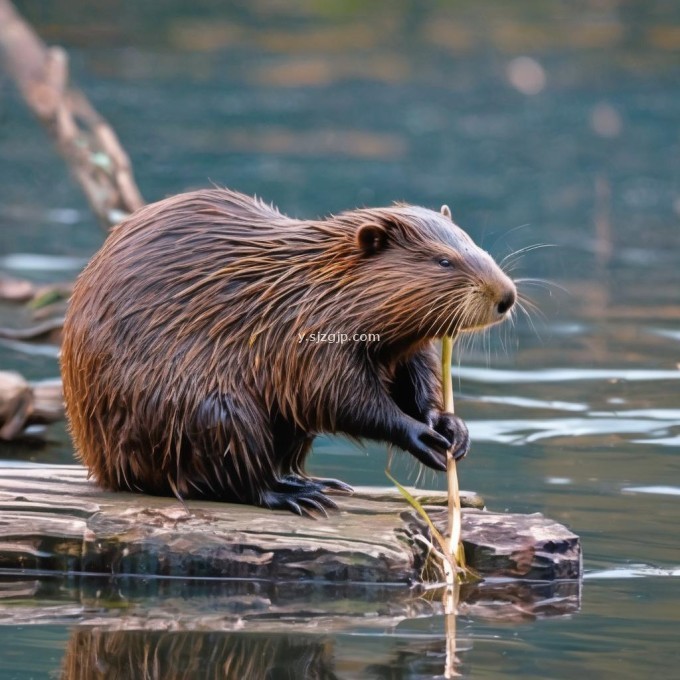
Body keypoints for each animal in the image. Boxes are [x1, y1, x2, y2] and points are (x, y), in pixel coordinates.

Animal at [62, 189, 516, 512]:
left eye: (473, 243)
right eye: (443, 261)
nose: (506, 296)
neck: (309, 285)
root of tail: (102, 468)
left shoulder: (402, 344)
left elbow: (415, 378)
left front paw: (451, 428)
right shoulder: (306, 333)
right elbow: (335, 394)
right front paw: (422, 437)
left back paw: (315, 482)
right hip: (209, 409)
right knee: (232, 476)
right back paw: (298, 496)